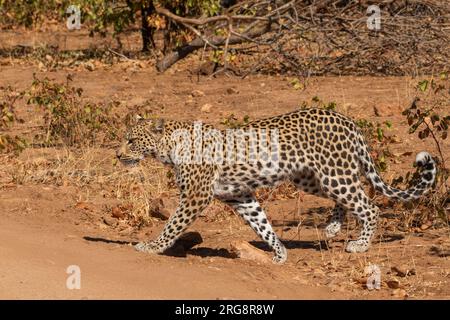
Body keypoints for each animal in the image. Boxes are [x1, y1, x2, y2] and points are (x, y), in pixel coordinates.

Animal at [116, 109, 436, 264]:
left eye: (131, 140)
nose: (117, 155)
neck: (169, 148)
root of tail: (347, 120)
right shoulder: (240, 196)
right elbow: (262, 225)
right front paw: (280, 253)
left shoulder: (197, 195)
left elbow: (172, 224)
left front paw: (151, 246)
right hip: (312, 177)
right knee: (348, 199)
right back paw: (333, 226)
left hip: (333, 174)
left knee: (368, 206)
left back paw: (360, 244)